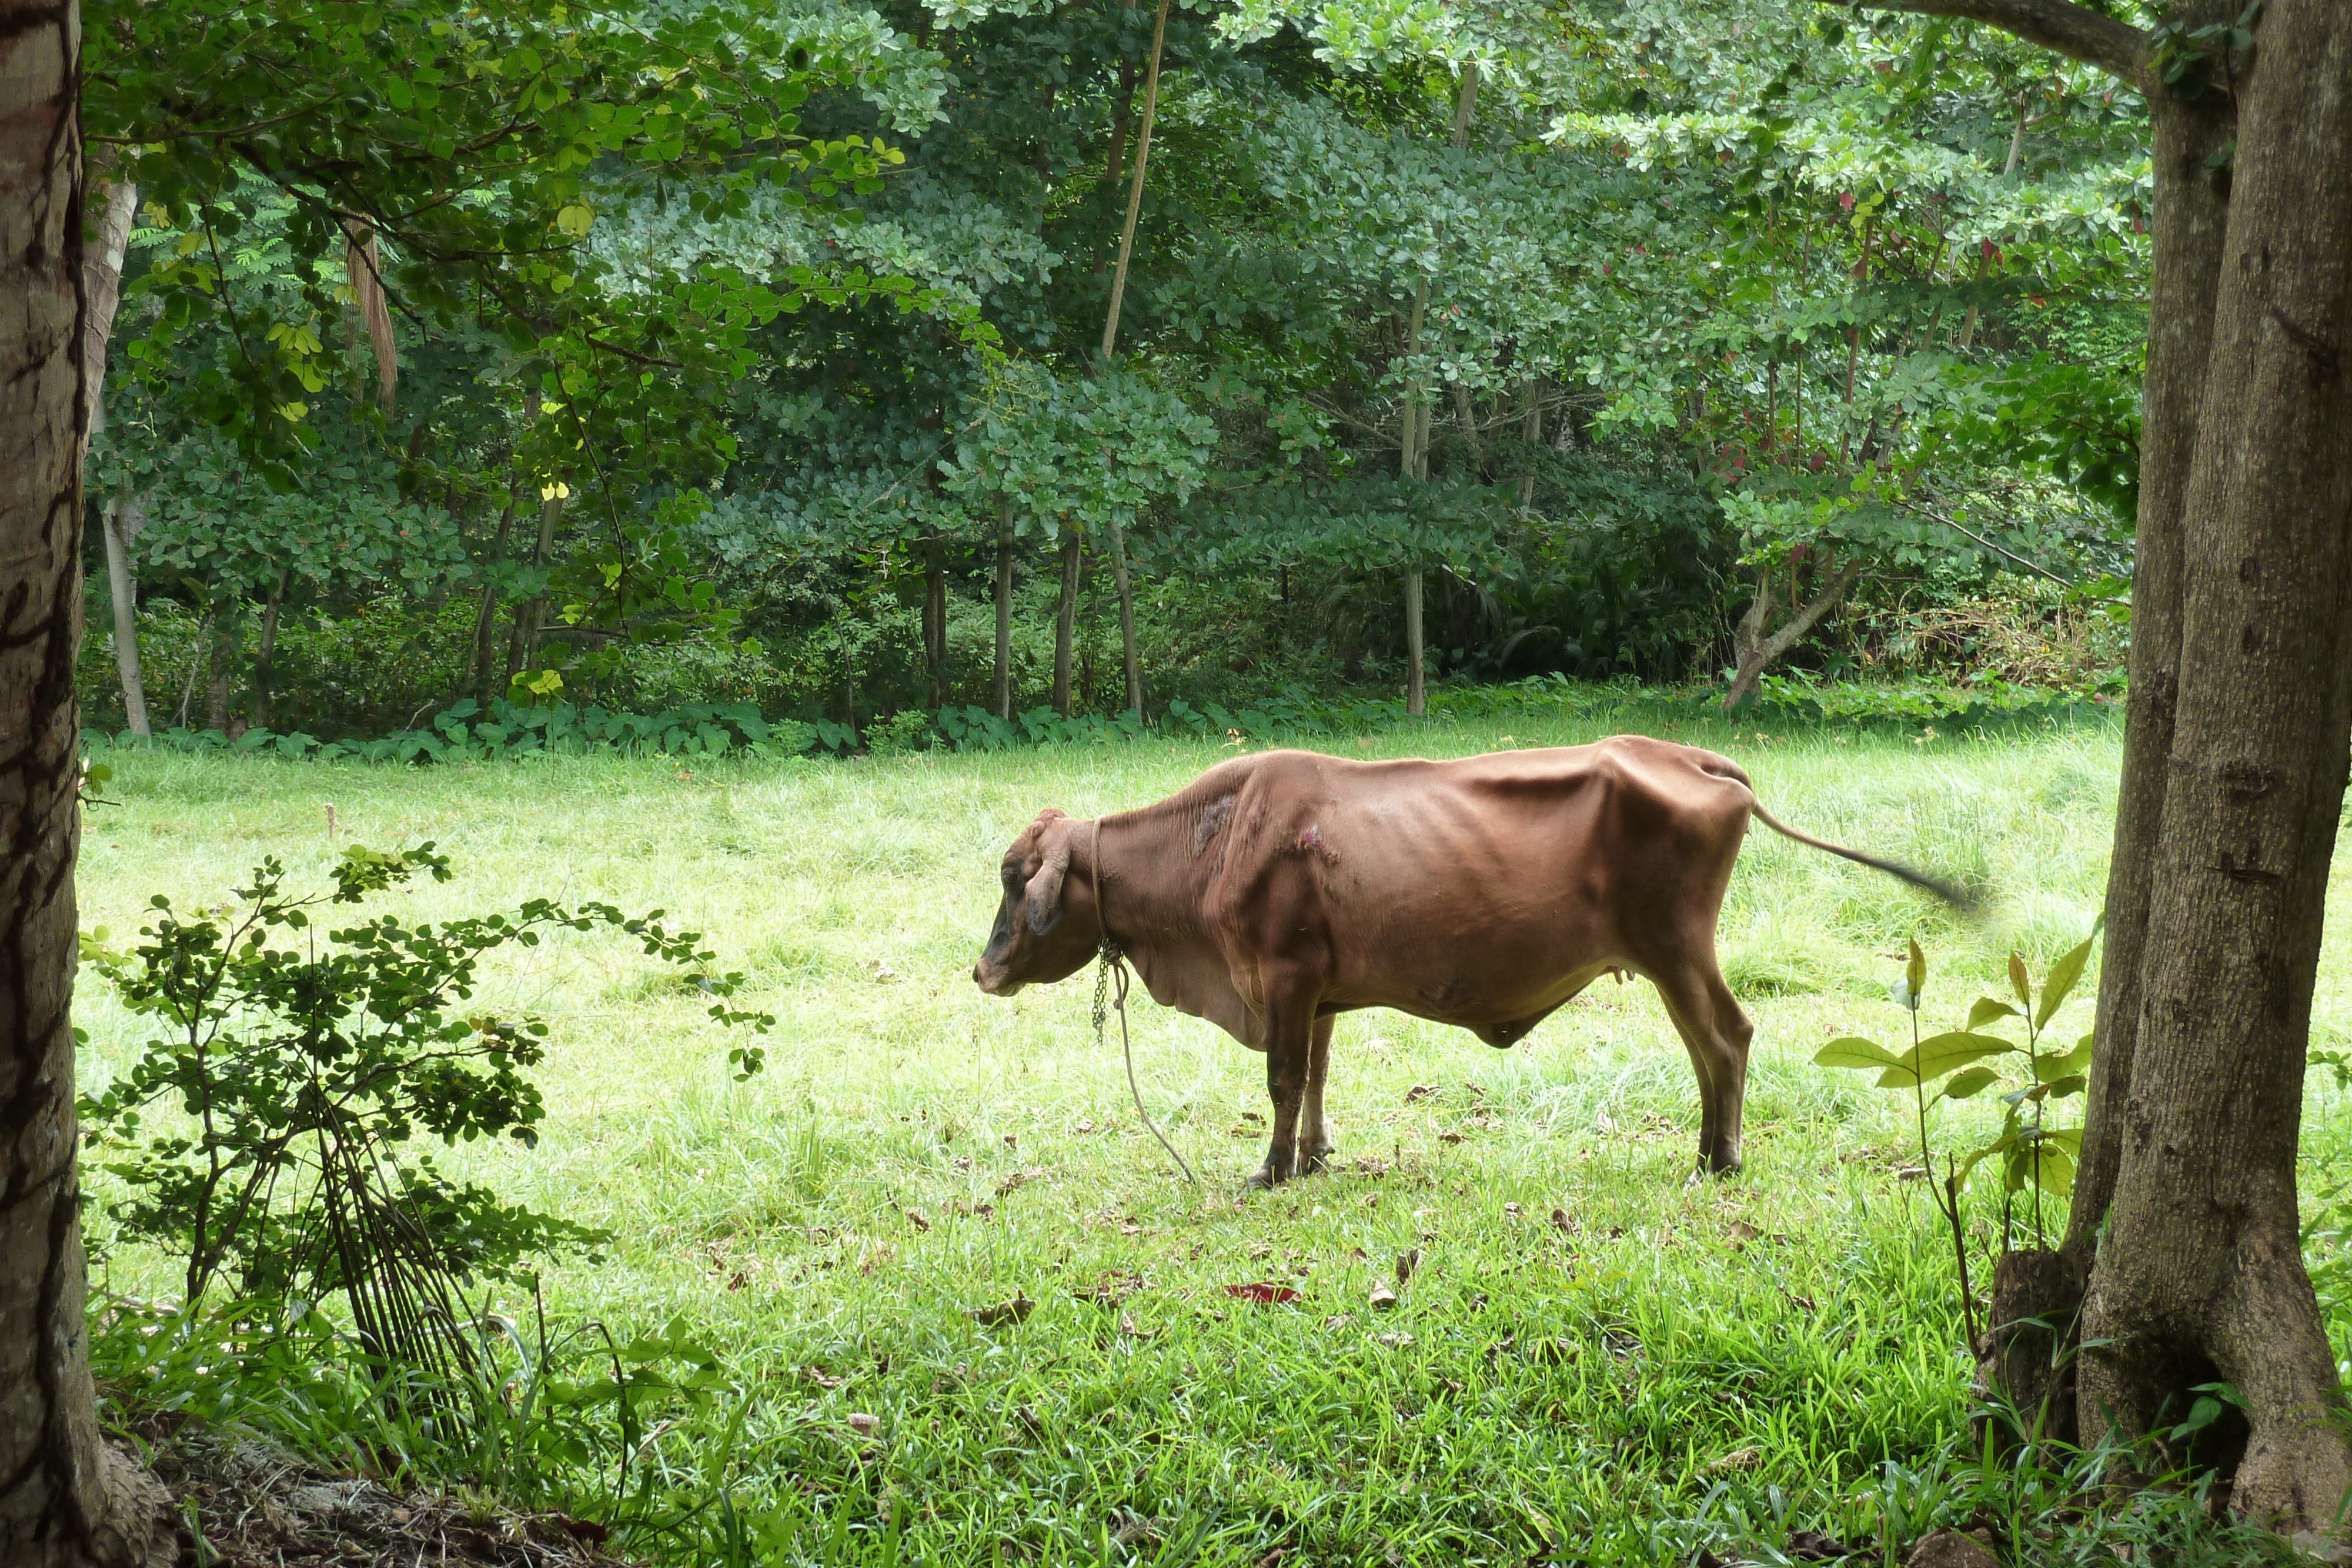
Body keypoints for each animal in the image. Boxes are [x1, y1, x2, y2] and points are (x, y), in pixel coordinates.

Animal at [974, 743, 1966, 1185]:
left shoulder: (1283, 976)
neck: (1219, 839)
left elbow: (1284, 1078)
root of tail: (1686, 756)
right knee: (1715, 1044)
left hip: (1676, 949)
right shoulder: (1318, 990)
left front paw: (1272, 1168)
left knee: (1723, 1038)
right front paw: (1315, 1155)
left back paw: (1715, 1156)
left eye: (1016, 877)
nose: (982, 972)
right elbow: (1318, 1076)